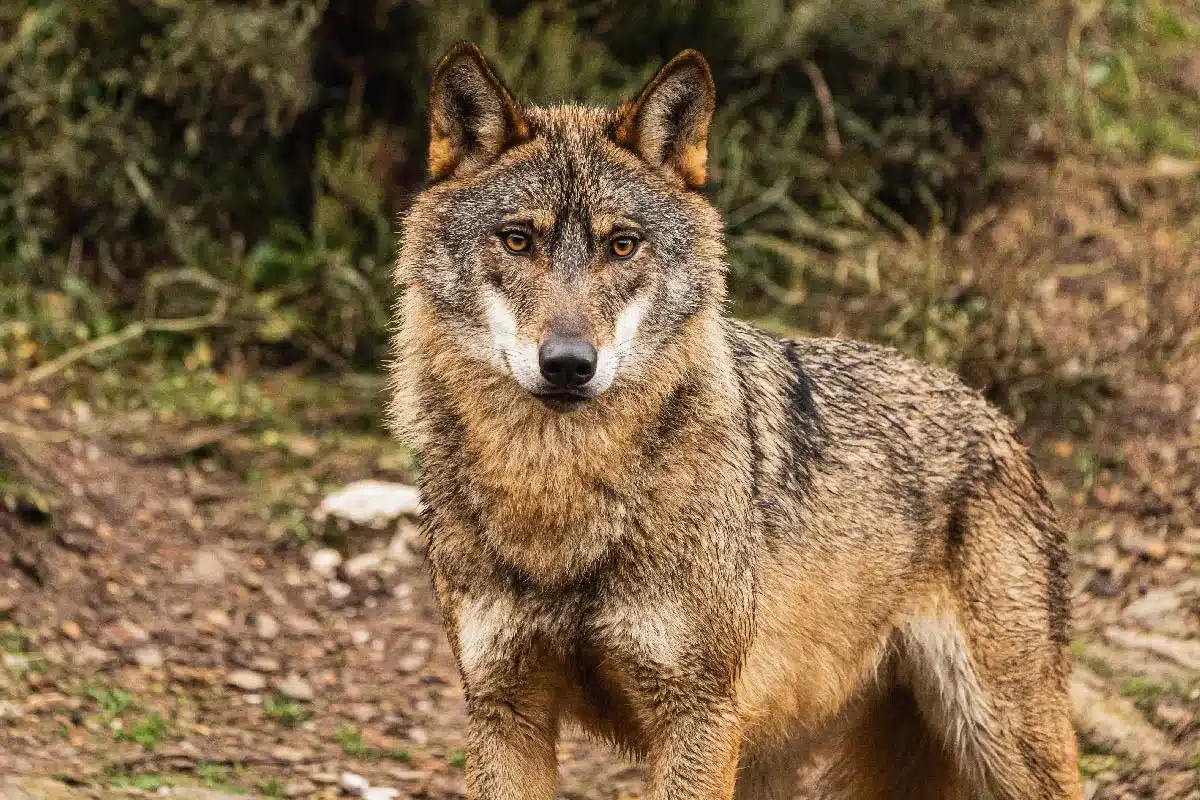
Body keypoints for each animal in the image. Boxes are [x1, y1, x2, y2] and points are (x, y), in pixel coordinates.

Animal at [388, 42, 1082, 800]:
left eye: (623, 245)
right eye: (517, 240)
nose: (569, 364)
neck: (559, 504)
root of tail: (993, 414)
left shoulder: (698, 712)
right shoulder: (504, 709)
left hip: (999, 739)